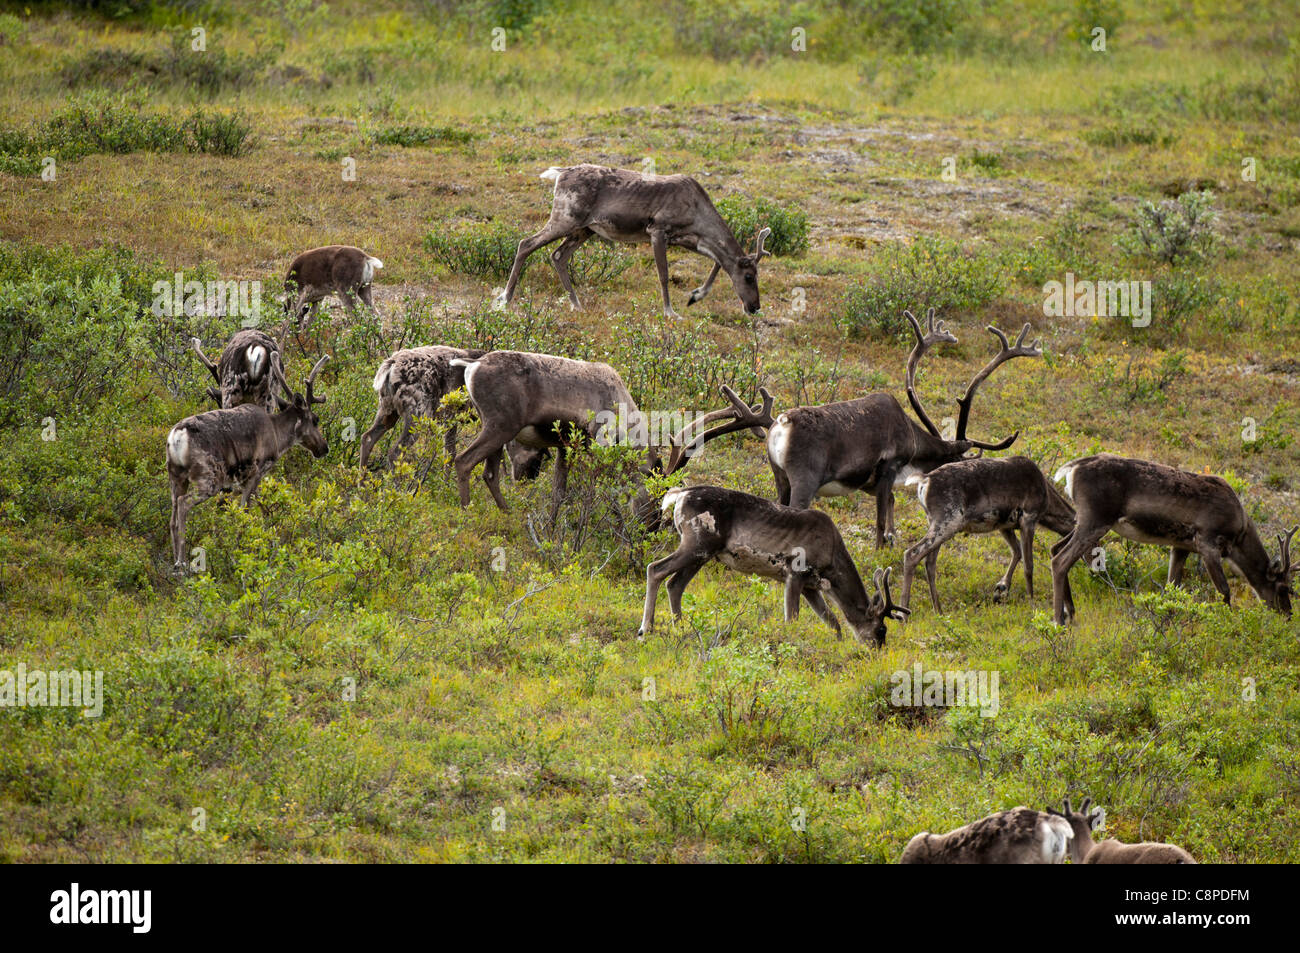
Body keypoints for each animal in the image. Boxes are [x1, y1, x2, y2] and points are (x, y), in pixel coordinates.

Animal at [166, 353, 330, 569]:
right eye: (315, 419)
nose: (324, 448)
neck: (277, 436)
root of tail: (177, 436)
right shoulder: (256, 472)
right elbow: (245, 510)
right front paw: (241, 550)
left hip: (176, 476)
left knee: (173, 515)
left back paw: (175, 562)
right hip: (208, 476)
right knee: (184, 504)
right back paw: (182, 562)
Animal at [637, 486, 904, 642]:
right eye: (881, 630)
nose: (877, 651)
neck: (831, 559)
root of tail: (679, 495)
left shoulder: (811, 586)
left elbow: (834, 623)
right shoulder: (795, 573)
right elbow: (792, 620)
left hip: (703, 552)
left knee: (675, 584)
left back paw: (681, 628)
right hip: (697, 542)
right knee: (655, 569)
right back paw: (645, 630)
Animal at [904, 455, 1076, 608]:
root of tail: (925, 480)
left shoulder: (1004, 525)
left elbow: (1017, 552)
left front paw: (1001, 589)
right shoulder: (1028, 518)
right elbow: (1028, 566)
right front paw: (1032, 603)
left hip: (935, 522)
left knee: (930, 563)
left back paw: (937, 609)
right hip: (947, 521)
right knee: (912, 553)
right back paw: (904, 612)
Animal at [1050, 452, 1294, 624]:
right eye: (1284, 588)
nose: (1288, 615)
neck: (1239, 537)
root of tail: (1071, 469)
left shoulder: (1180, 546)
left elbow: (1171, 589)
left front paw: (1166, 622)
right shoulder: (1207, 543)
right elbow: (1224, 591)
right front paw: (1228, 624)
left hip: (1085, 520)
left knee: (1055, 548)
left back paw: (1070, 613)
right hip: (1096, 519)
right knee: (1060, 560)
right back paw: (1059, 620)